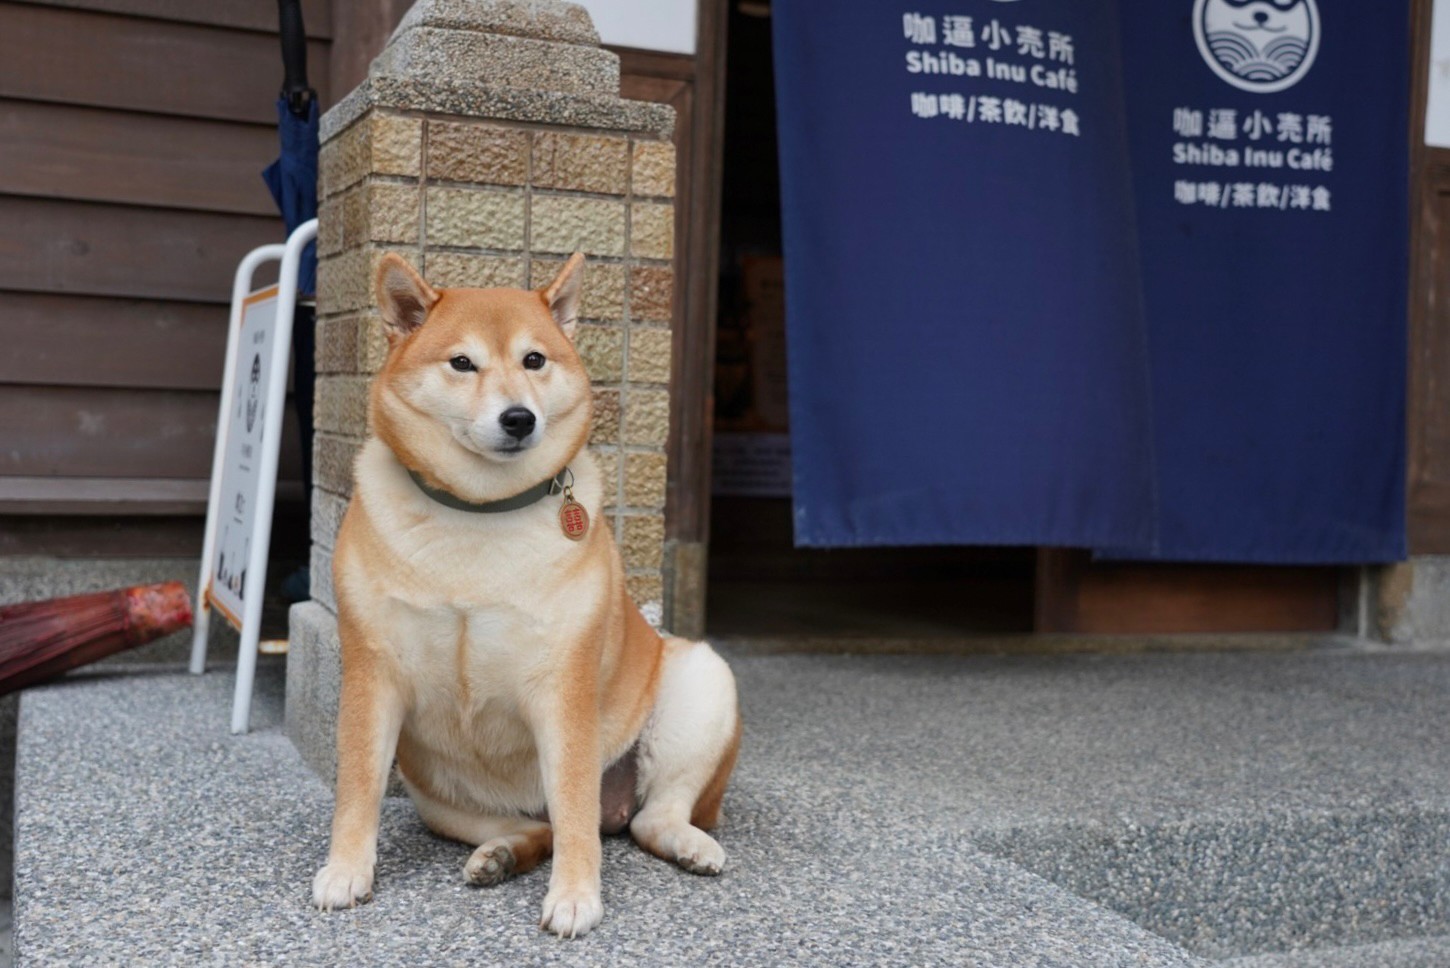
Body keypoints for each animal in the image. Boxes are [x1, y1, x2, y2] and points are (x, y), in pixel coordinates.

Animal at [311, 252, 742, 939]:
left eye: (534, 359)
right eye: (462, 363)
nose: (519, 418)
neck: (479, 511)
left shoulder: (563, 687)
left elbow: (574, 810)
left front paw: (576, 896)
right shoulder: (372, 672)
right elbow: (357, 788)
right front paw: (347, 869)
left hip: (701, 684)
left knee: (643, 818)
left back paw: (688, 844)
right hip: (437, 793)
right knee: (537, 827)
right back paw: (502, 854)